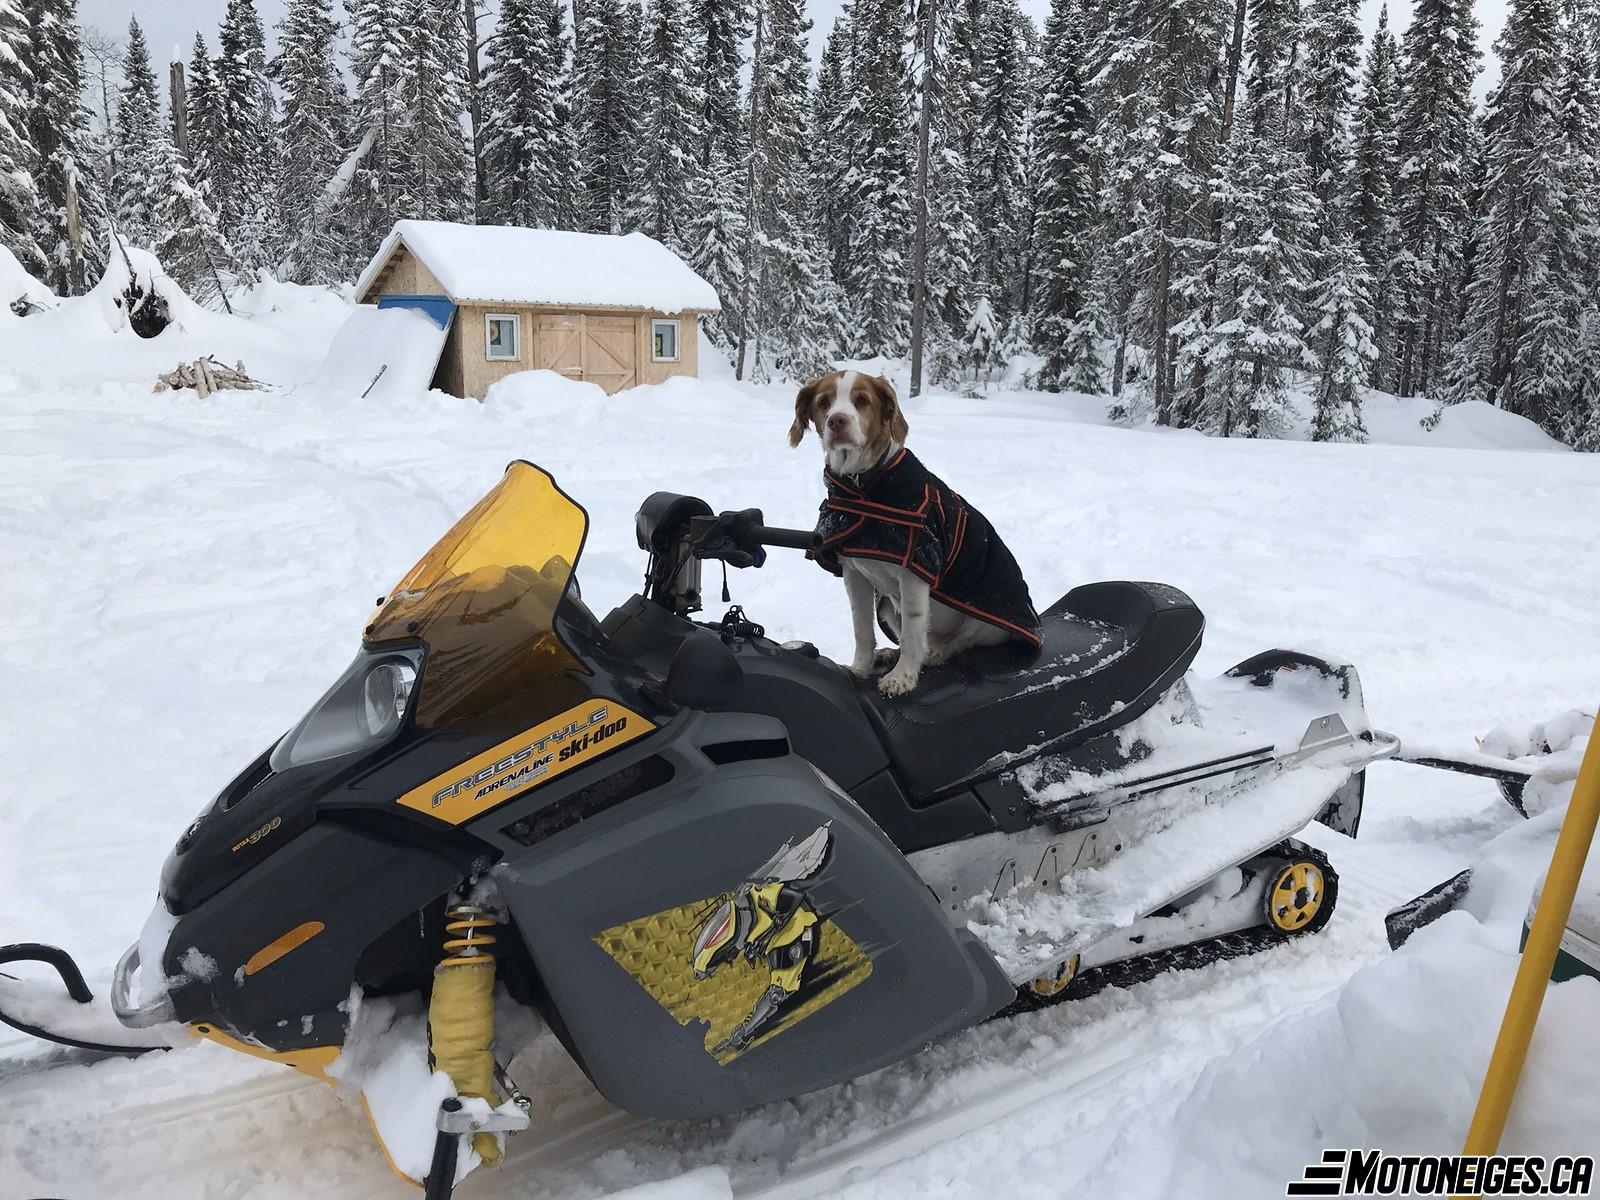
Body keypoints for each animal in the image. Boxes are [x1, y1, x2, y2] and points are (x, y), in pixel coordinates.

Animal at [784, 371, 1036, 700]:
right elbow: (862, 628)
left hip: (984, 616)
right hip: (887, 605)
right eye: (823, 402)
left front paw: (902, 678)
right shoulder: (854, 574)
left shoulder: (914, 574)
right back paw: (891, 653)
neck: (863, 488)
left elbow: (913, 634)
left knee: (960, 641)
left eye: (862, 400)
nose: (837, 421)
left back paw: (936, 653)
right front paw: (859, 669)